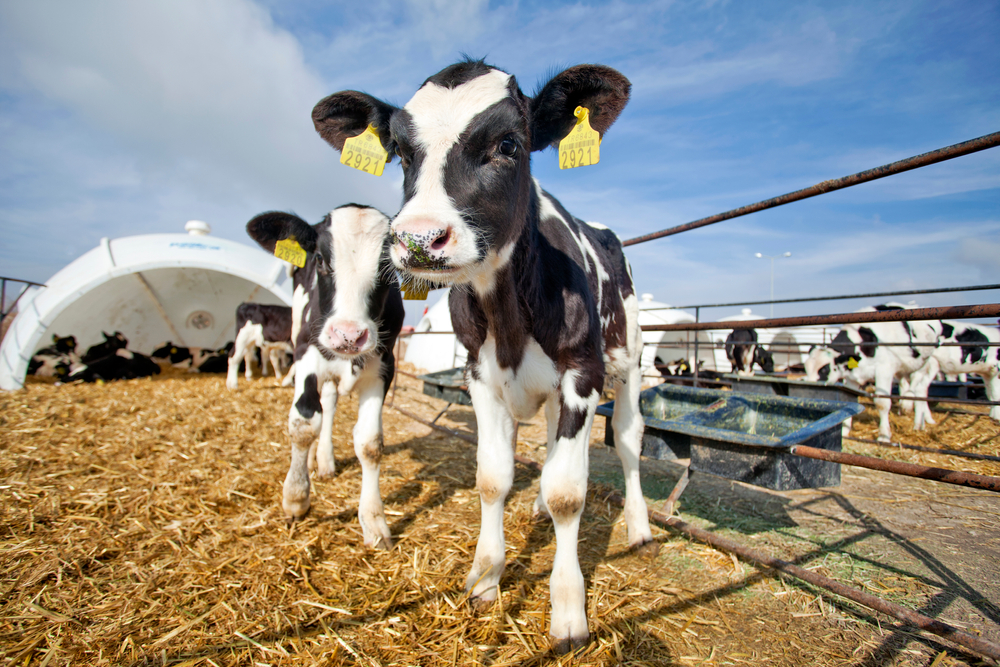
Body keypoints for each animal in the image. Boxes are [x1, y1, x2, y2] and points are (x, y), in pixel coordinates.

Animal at [244, 204, 404, 549]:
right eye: (319, 258)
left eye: (389, 267)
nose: (348, 335)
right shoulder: (306, 353)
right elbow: (304, 423)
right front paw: (295, 498)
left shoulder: (384, 365)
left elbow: (370, 442)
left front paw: (374, 520)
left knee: (329, 404)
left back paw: (326, 460)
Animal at [311, 59, 655, 652]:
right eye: (401, 152)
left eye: (509, 144)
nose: (419, 238)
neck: (510, 314)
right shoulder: (480, 375)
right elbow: (494, 478)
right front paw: (485, 579)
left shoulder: (581, 373)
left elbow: (569, 493)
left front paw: (568, 613)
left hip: (628, 359)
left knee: (630, 441)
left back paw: (637, 527)